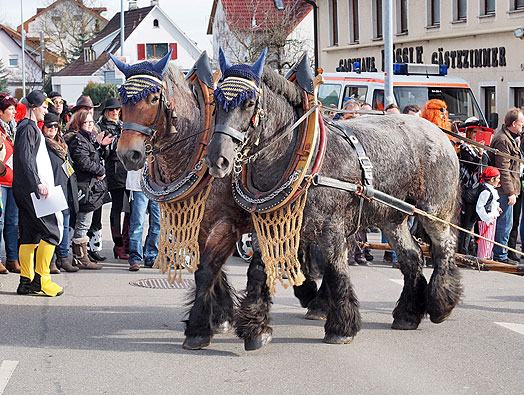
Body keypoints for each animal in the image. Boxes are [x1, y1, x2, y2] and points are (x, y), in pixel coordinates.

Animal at [111, 51, 328, 352]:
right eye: (122, 99)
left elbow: (206, 271)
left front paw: (198, 329)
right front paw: (222, 316)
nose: (127, 154)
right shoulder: (201, 225)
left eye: (153, 99)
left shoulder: (226, 225)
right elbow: (211, 269)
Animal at [205, 48, 462, 350]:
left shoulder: (331, 228)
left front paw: (341, 327)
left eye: (248, 103)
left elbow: (337, 271)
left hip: (435, 210)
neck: (298, 155)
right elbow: (258, 270)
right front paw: (256, 328)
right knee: (412, 257)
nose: (217, 159)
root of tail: (440, 133)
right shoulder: (265, 227)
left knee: (444, 247)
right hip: (392, 218)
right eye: (217, 101)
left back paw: (441, 304)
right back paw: (407, 314)